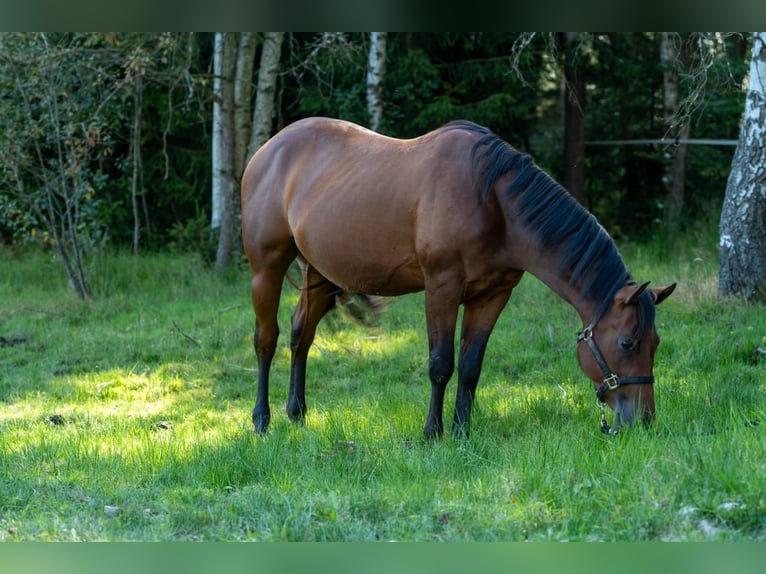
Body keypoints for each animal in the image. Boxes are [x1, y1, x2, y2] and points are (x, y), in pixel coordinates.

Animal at [242, 118, 680, 440]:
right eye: (627, 343)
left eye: (656, 342)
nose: (644, 420)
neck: (492, 202)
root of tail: (268, 150)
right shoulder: (441, 289)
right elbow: (441, 364)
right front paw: (432, 432)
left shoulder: (493, 296)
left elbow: (471, 366)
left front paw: (461, 431)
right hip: (266, 269)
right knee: (267, 340)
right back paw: (262, 420)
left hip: (319, 272)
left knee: (301, 335)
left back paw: (297, 414)